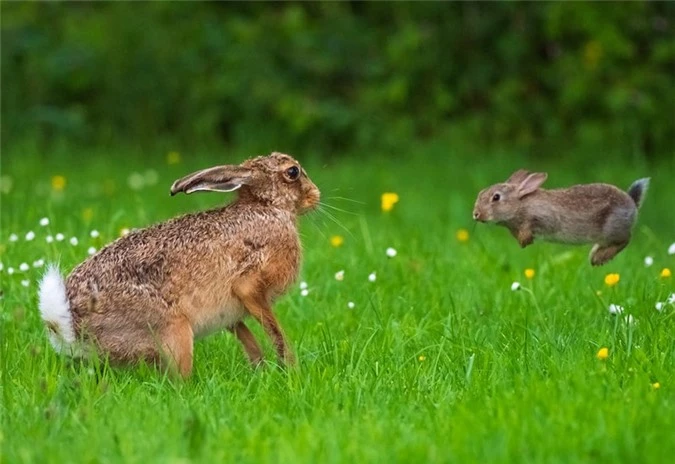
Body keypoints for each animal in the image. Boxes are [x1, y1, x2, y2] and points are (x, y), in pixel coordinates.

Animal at [38, 152, 320, 376]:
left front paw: (260, 368)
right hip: (175, 332)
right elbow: (274, 330)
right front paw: (289, 367)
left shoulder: (232, 311)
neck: (267, 206)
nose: (316, 195)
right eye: (292, 172)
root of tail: (70, 326)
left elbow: (245, 335)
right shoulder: (249, 286)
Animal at [472, 169, 652, 264]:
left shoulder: (543, 217)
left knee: (625, 239)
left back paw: (598, 258)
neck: (520, 204)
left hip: (612, 228)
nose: (476, 214)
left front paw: (524, 240)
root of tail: (632, 203)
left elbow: (532, 225)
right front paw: (524, 242)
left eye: (496, 197)